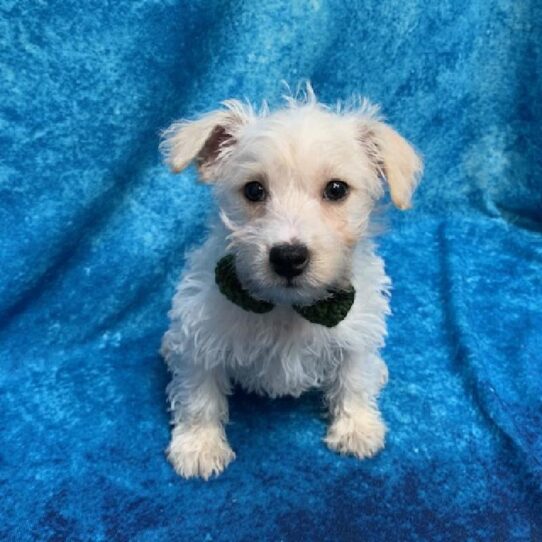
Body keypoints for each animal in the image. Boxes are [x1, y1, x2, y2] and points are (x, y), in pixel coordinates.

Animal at [159, 87, 422, 482]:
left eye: (336, 189)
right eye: (254, 190)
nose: (288, 257)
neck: (287, 308)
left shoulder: (357, 332)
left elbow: (354, 380)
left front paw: (357, 428)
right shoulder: (200, 333)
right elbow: (198, 395)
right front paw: (199, 446)